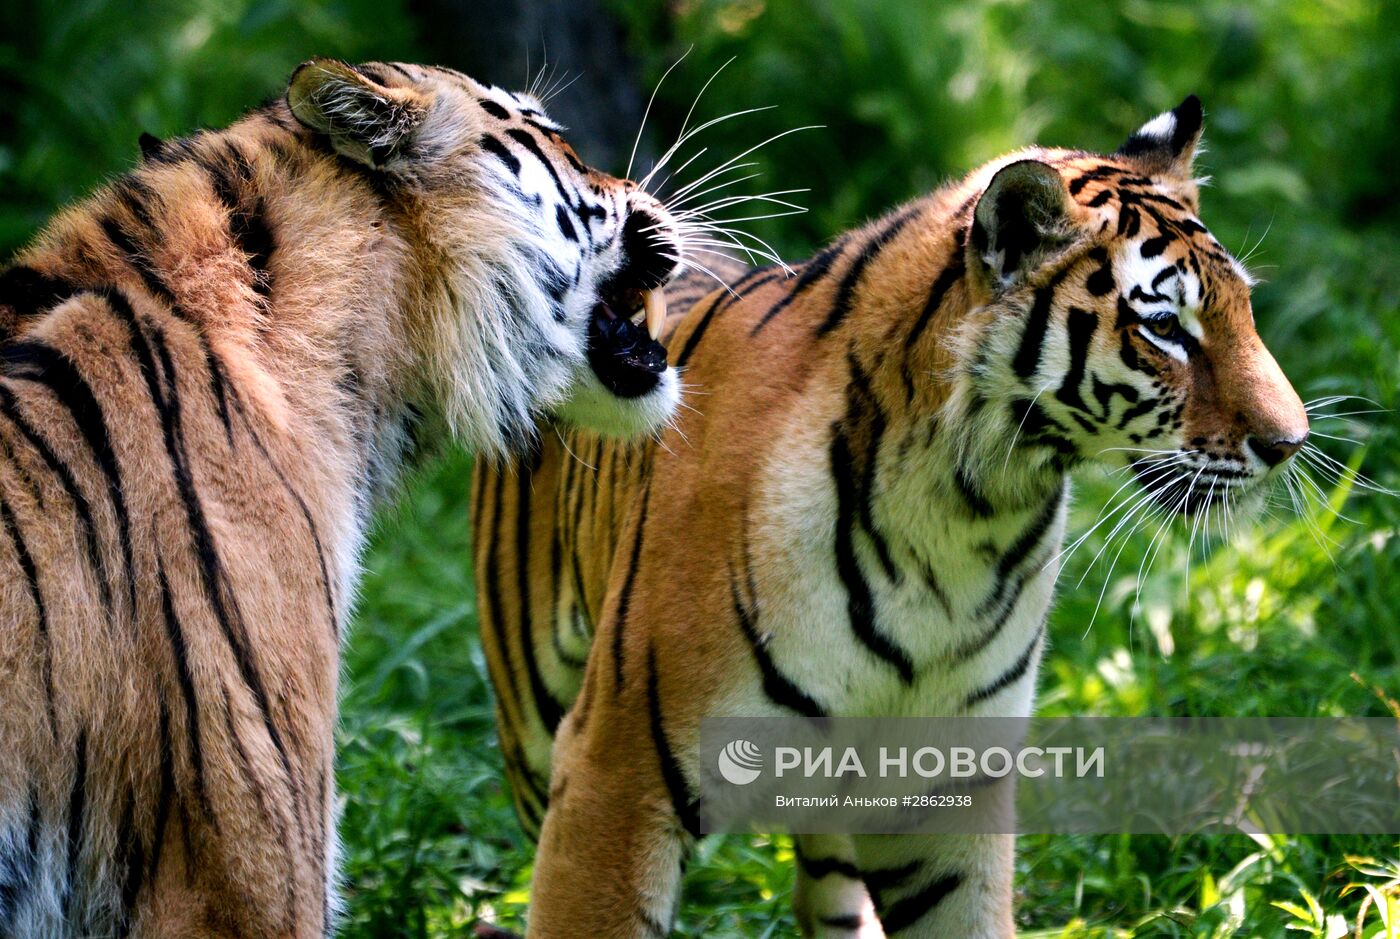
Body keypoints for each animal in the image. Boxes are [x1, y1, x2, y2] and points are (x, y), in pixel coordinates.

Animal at [473, 97, 1310, 939]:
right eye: (1165, 329)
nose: (1290, 442)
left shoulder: (946, 785)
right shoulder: (617, 768)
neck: (970, 516)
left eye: (1245, 308)